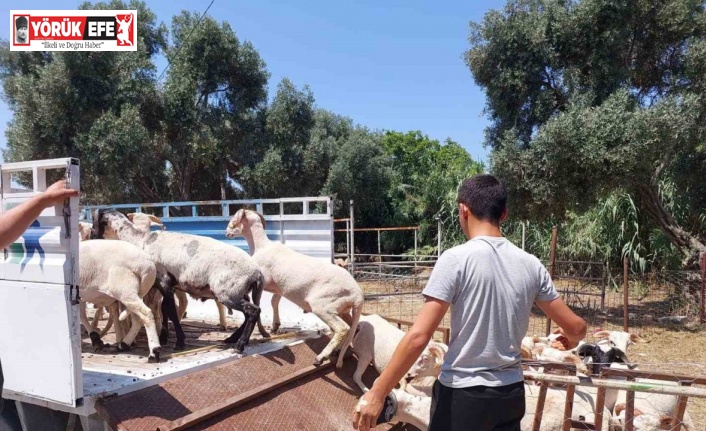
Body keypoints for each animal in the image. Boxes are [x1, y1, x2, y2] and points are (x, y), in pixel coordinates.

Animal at [92, 209, 268, 354]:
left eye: (95, 222)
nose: (93, 237)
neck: (141, 241)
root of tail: (257, 273)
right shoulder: (167, 286)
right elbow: (165, 309)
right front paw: (166, 337)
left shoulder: (164, 282)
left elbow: (170, 310)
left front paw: (179, 343)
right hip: (239, 292)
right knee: (251, 312)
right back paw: (231, 339)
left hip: (227, 293)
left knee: (253, 311)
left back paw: (239, 345)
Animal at [226, 209, 364, 368]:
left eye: (234, 219)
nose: (226, 232)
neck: (261, 246)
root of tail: (358, 295)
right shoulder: (279, 287)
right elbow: (274, 301)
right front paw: (275, 325)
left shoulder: (263, 282)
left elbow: (261, 301)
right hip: (342, 309)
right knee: (354, 328)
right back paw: (337, 350)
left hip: (323, 306)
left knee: (342, 329)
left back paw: (320, 357)